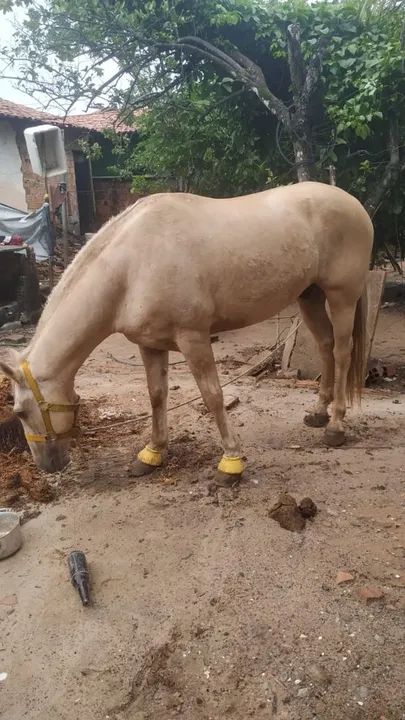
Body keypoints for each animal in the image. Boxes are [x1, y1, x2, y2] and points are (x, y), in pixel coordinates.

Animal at [0, 181, 373, 476]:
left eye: (20, 411)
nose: (48, 466)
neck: (132, 265)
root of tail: (354, 203)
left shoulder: (193, 338)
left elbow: (212, 395)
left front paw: (231, 462)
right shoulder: (149, 344)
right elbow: (156, 396)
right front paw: (152, 454)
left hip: (342, 296)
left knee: (342, 351)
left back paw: (336, 426)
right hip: (309, 296)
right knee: (324, 345)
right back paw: (318, 412)